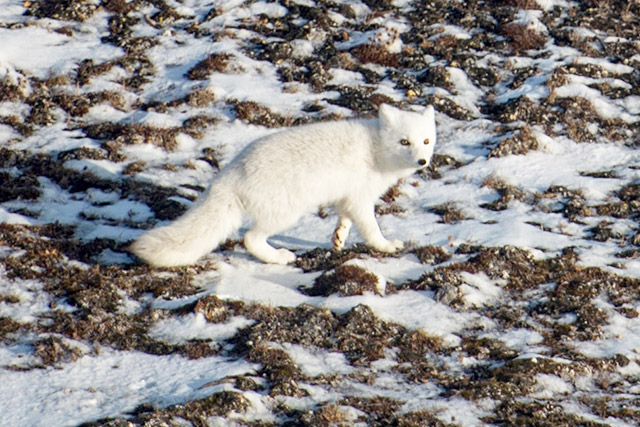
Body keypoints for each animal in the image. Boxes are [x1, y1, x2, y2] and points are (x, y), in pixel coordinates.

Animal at [130, 103, 437, 266]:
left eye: (426, 141)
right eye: (404, 141)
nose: (422, 161)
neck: (376, 151)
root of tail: (233, 170)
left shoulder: (348, 197)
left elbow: (345, 219)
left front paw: (338, 238)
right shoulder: (361, 198)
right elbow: (371, 229)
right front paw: (386, 246)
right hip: (286, 213)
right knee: (250, 238)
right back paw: (279, 257)